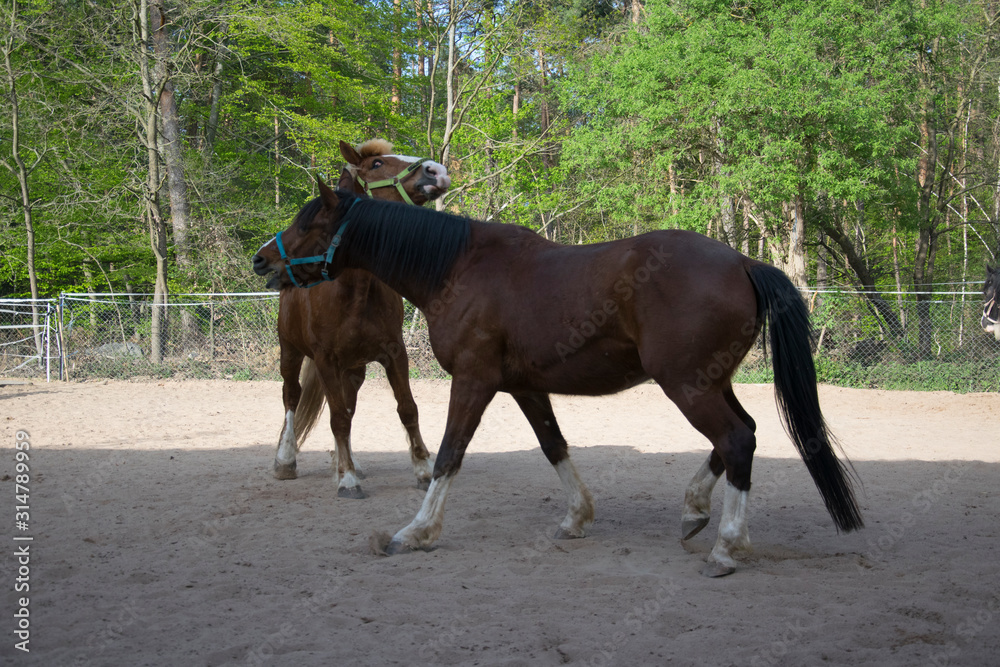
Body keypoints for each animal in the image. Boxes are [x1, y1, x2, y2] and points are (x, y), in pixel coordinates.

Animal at [254, 184, 864, 580]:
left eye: (310, 222)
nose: (262, 261)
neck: (457, 268)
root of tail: (741, 262)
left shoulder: (473, 381)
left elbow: (450, 455)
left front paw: (416, 531)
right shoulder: (524, 386)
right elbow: (553, 445)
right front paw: (576, 518)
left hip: (688, 385)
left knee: (736, 439)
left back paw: (725, 549)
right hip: (709, 382)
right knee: (743, 434)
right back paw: (694, 511)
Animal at [266, 140, 454, 496]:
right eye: (377, 164)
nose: (437, 171)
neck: (354, 291)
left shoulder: (394, 353)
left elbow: (406, 408)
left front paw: (422, 470)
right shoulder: (324, 359)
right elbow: (335, 416)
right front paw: (347, 479)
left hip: (354, 369)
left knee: (348, 408)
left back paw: (347, 462)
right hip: (290, 352)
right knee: (291, 396)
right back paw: (285, 460)